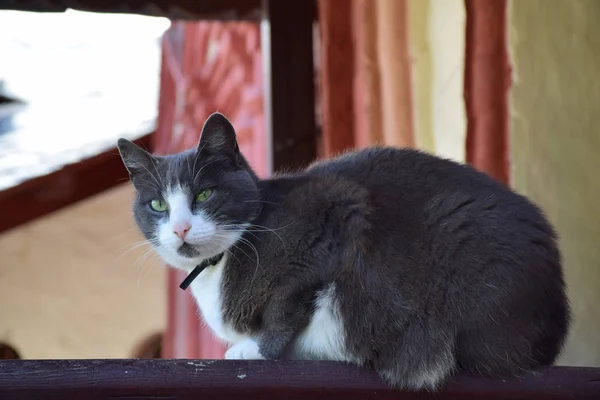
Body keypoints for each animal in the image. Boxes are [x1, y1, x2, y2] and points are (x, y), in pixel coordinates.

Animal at [118, 111, 572, 390]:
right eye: (157, 205)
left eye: (204, 194)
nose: (180, 227)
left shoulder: (336, 210)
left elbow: (288, 302)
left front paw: (257, 351)